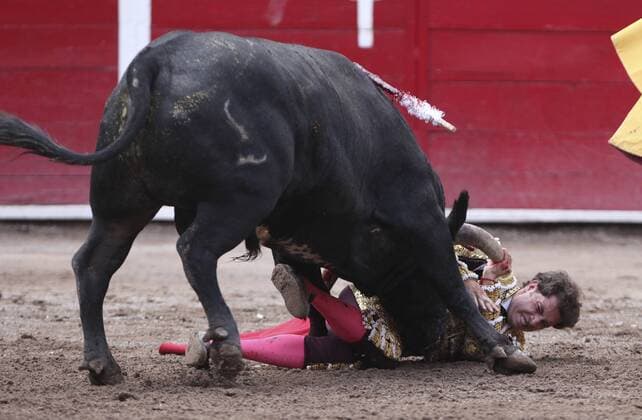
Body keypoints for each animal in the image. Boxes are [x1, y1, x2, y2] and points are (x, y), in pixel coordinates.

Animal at [0, 31, 533, 385]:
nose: (428, 342)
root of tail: (155, 60)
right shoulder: (420, 219)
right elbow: (452, 285)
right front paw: (503, 349)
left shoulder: (299, 237)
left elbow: (312, 295)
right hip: (237, 198)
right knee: (194, 252)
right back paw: (228, 347)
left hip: (123, 203)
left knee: (94, 264)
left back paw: (105, 365)